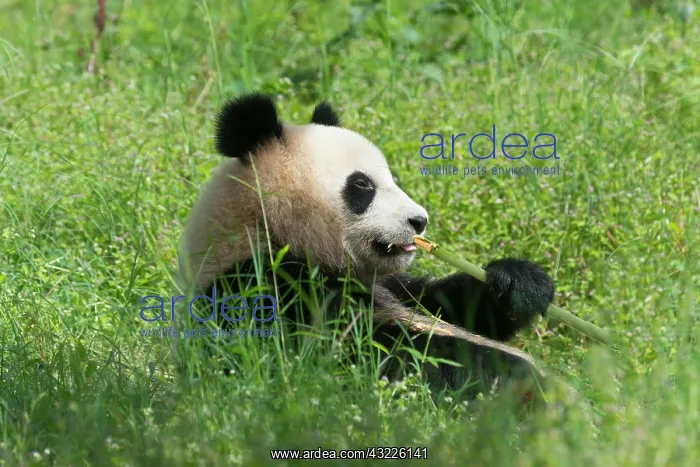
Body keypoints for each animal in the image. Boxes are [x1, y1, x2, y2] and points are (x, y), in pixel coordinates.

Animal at [177, 92, 555, 400]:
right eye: (362, 186)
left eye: (392, 179)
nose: (419, 220)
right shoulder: (263, 288)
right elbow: (369, 352)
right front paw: (511, 373)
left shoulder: (388, 282)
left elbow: (446, 305)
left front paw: (519, 282)